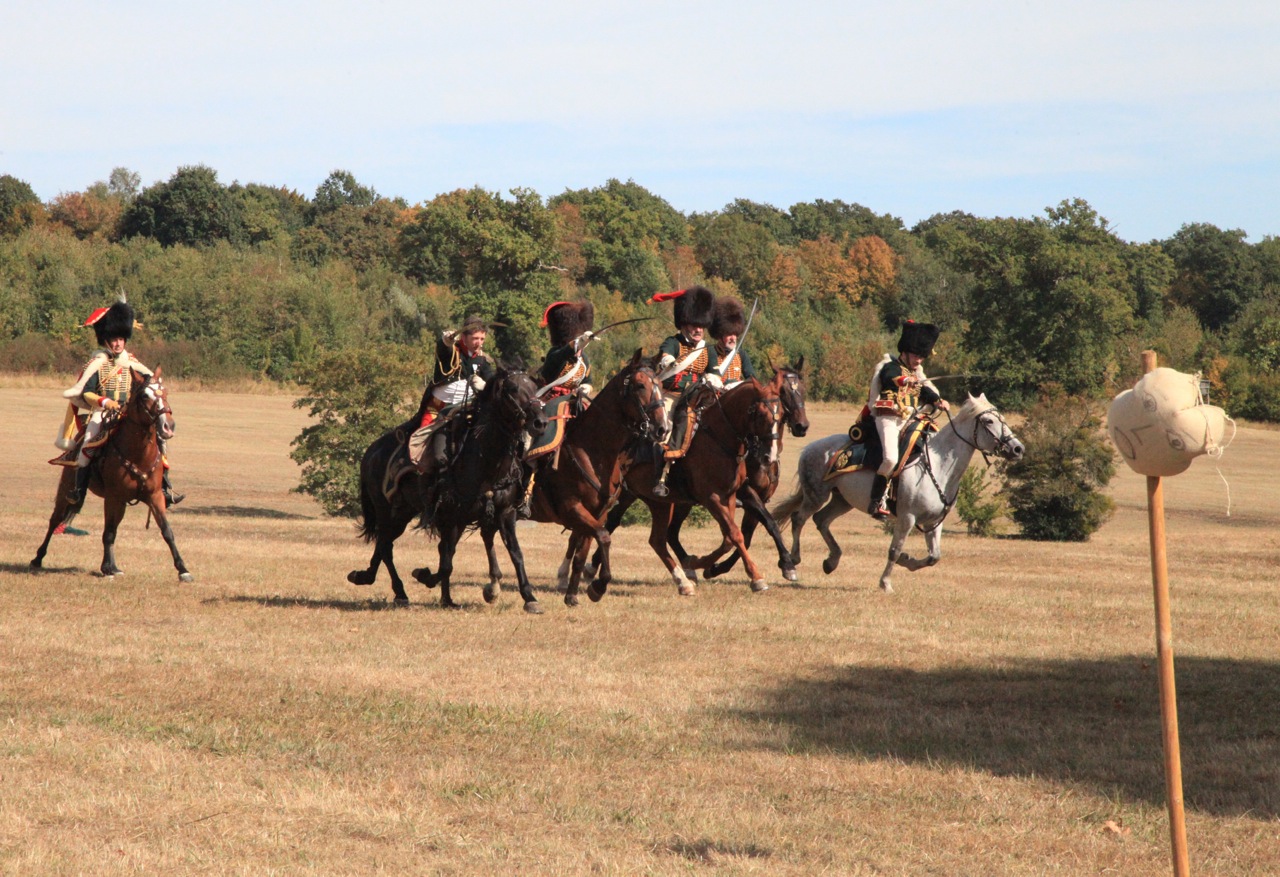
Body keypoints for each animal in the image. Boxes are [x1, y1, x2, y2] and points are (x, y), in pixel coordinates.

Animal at [31, 368, 192, 581]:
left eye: (165, 392)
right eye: (144, 395)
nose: (168, 426)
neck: (138, 455)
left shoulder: (155, 496)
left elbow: (166, 531)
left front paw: (183, 569)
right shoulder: (113, 497)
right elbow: (108, 532)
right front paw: (106, 568)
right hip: (67, 488)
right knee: (55, 519)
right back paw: (38, 558)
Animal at [412, 358, 547, 611]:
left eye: (535, 388)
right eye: (512, 388)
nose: (540, 422)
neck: (488, 463)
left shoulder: (505, 512)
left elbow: (516, 552)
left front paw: (529, 596)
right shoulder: (455, 516)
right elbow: (447, 561)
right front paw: (424, 575)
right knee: (446, 551)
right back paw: (447, 596)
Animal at [529, 348, 670, 601]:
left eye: (661, 386)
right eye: (640, 385)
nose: (663, 428)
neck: (591, 451)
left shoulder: (597, 513)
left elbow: (583, 552)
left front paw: (573, 595)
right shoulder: (573, 508)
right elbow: (603, 537)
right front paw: (598, 586)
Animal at [768, 394, 1029, 591]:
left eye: (1003, 419)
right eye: (988, 421)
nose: (1018, 448)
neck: (938, 464)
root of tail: (809, 448)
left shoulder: (934, 522)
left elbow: (934, 556)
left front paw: (908, 561)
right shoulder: (907, 517)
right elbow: (894, 550)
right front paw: (885, 583)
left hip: (842, 500)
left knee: (821, 520)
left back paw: (831, 561)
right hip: (817, 495)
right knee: (799, 518)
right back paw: (793, 561)